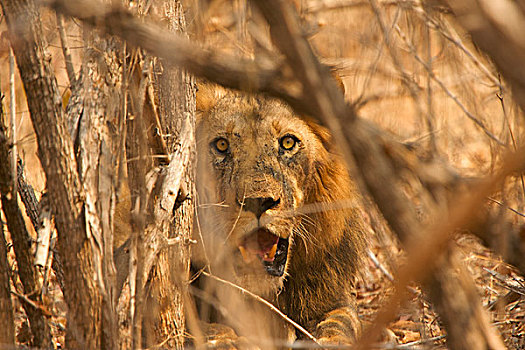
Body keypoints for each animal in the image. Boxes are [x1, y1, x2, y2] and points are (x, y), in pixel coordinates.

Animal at [194, 84, 366, 348]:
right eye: (222, 145)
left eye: (287, 142)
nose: (258, 201)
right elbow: (210, 331)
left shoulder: (334, 298)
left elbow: (341, 324)